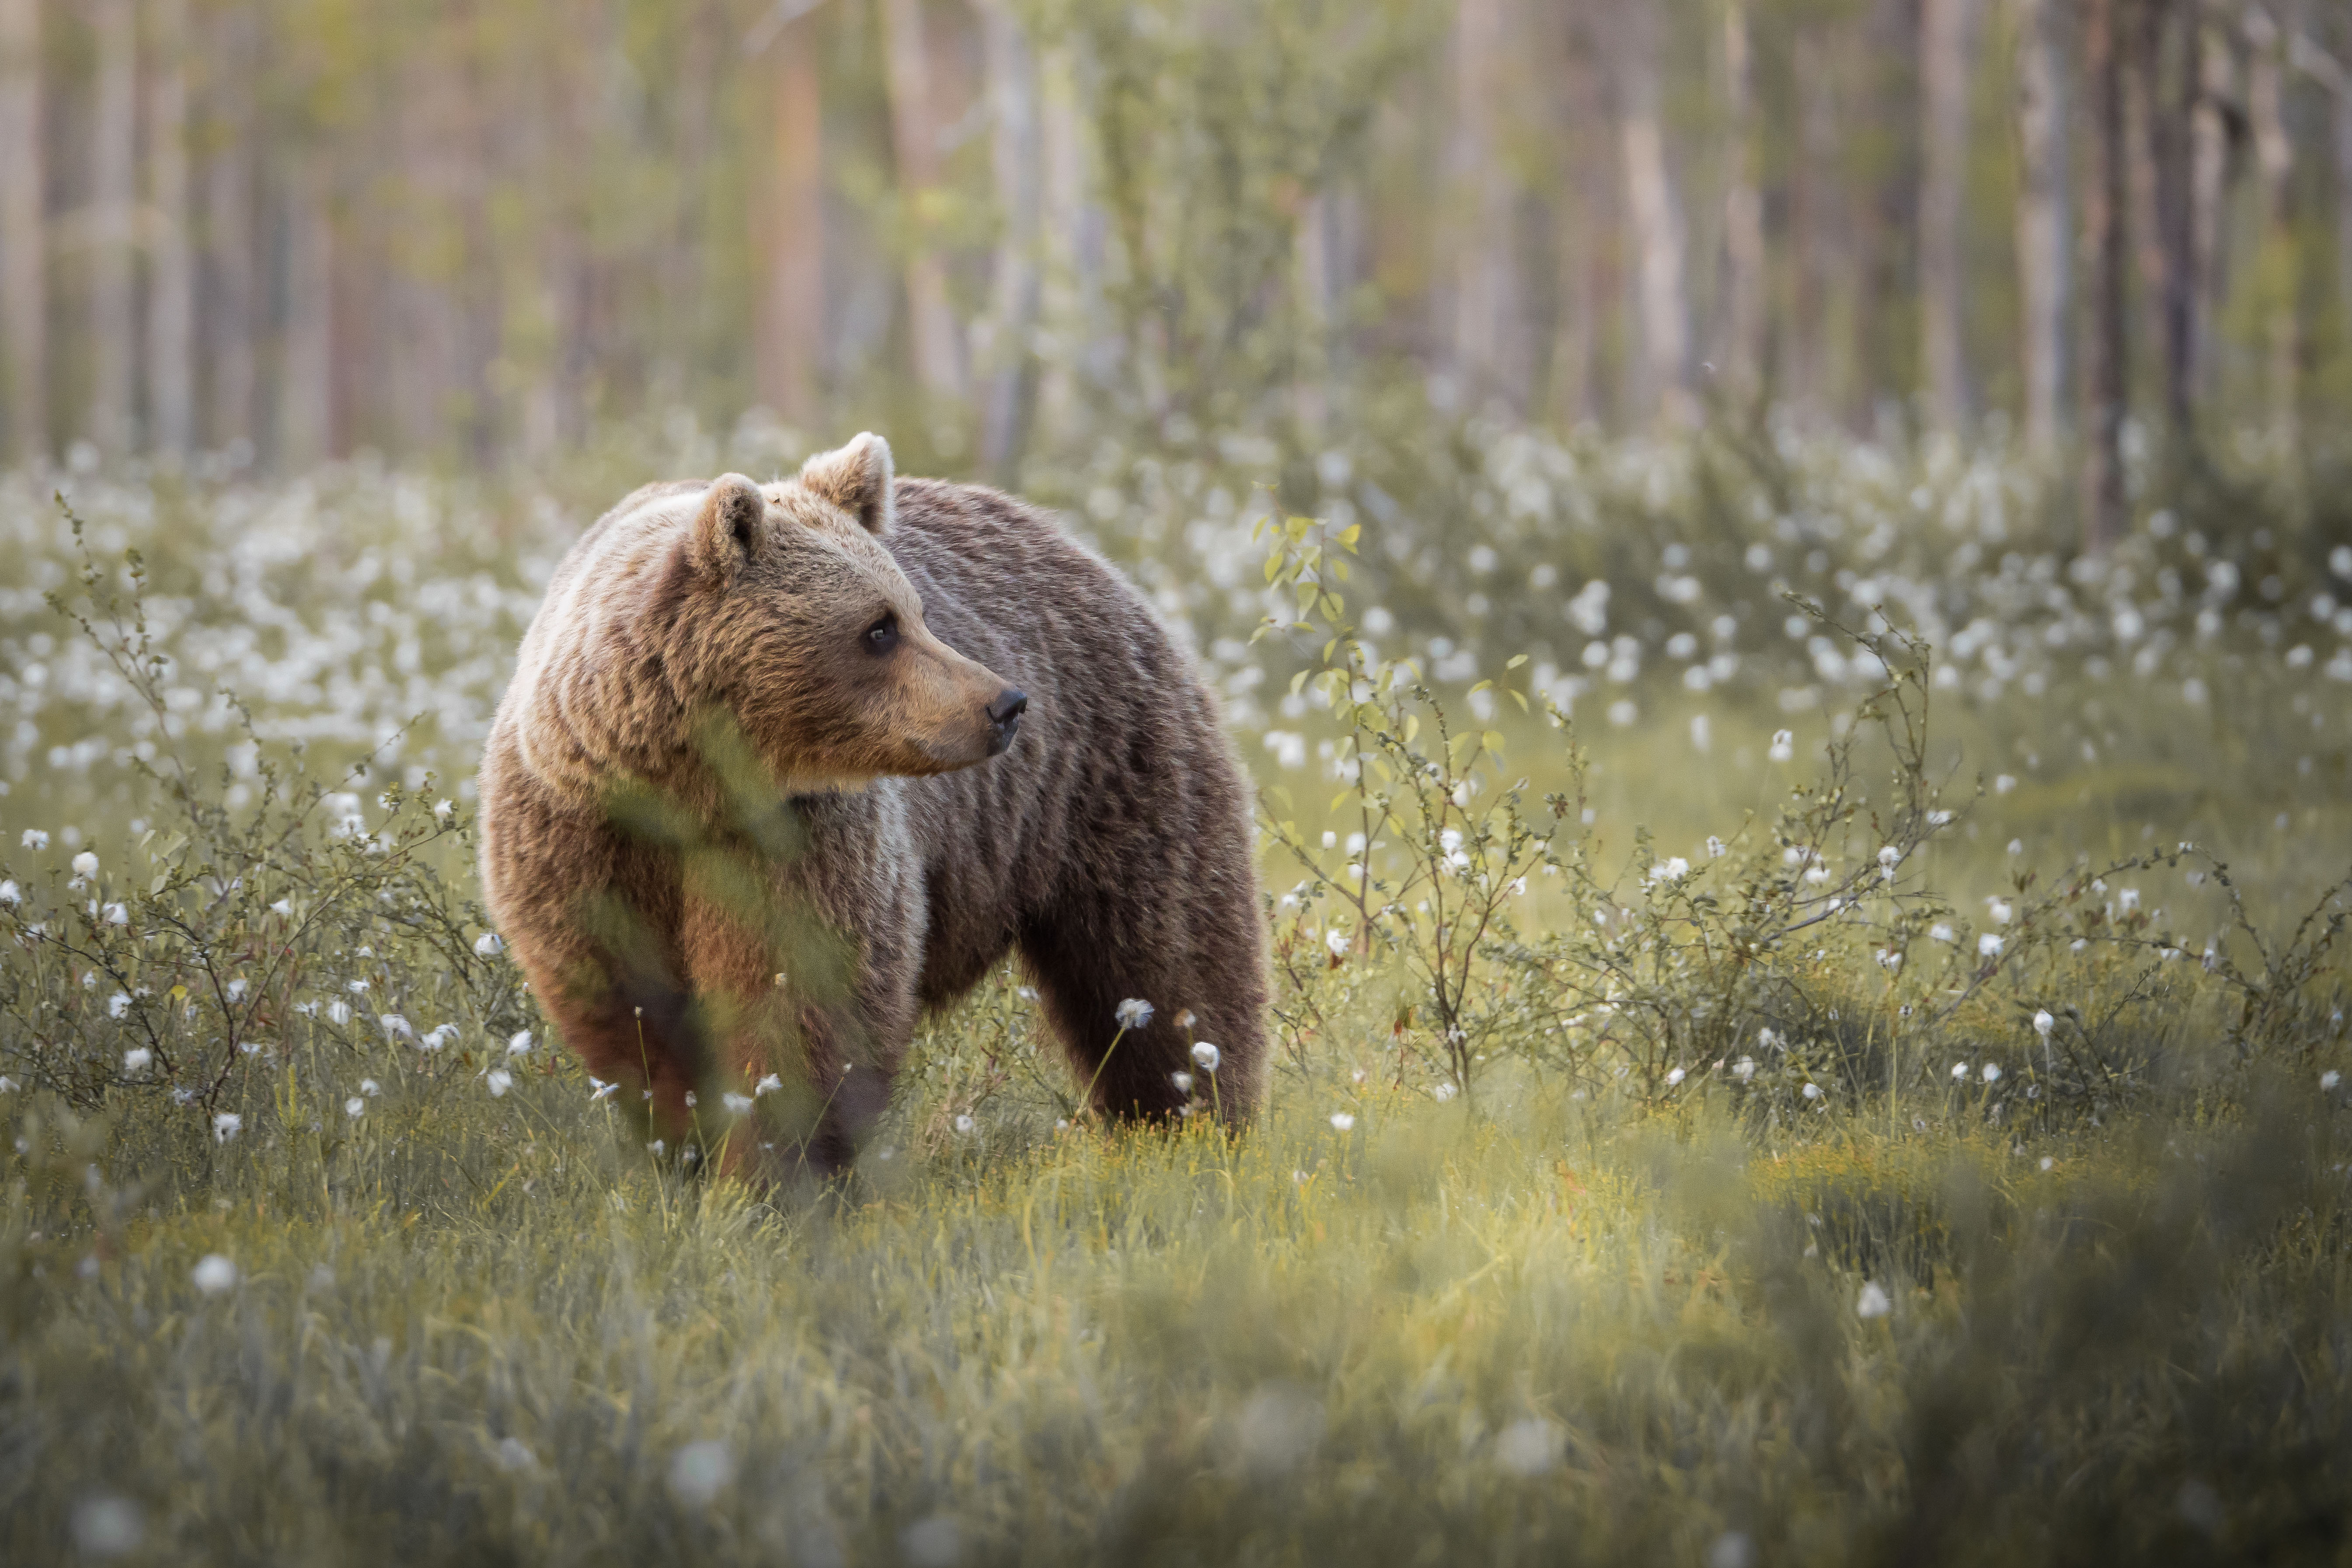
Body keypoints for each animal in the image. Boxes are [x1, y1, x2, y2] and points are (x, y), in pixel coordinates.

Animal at [476, 432, 1269, 1179]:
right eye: (878, 628)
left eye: (916, 611)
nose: (1005, 704)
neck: (687, 790)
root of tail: (1078, 546)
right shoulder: (579, 835)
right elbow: (626, 1005)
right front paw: (686, 1146)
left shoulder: (796, 835)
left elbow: (802, 999)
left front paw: (775, 1171)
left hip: (1109, 778)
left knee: (1166, 968)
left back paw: (1190, 1120)